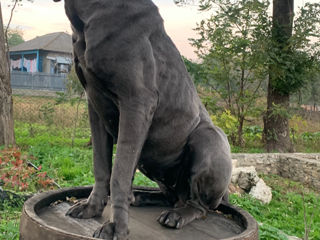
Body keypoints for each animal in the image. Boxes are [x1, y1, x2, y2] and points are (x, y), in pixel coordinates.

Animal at [53, 0, 231, 239]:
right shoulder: (95, 104)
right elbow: (101, 165)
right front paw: (92, 207)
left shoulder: (136, 102)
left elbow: (119, 173)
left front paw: (115, 226)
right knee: (172, 196)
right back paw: (141, 196)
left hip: (209, 137)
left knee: (199, 207)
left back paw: (178, 214)